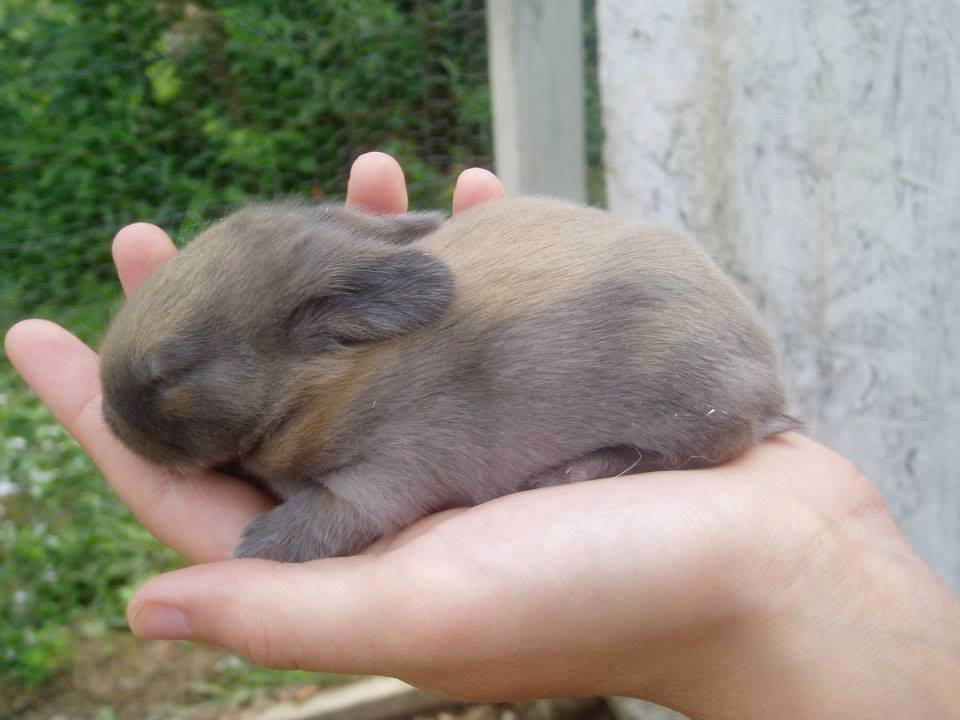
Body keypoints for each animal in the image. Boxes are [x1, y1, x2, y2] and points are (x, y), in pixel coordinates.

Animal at [99, 197, 800, 562]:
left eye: (171, 369)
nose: (109, 422)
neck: (318, 383)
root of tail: (768, 379)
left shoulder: (393, 465)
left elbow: (341, 508)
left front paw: (261, 541)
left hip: (691, 405)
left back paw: (570, 472)